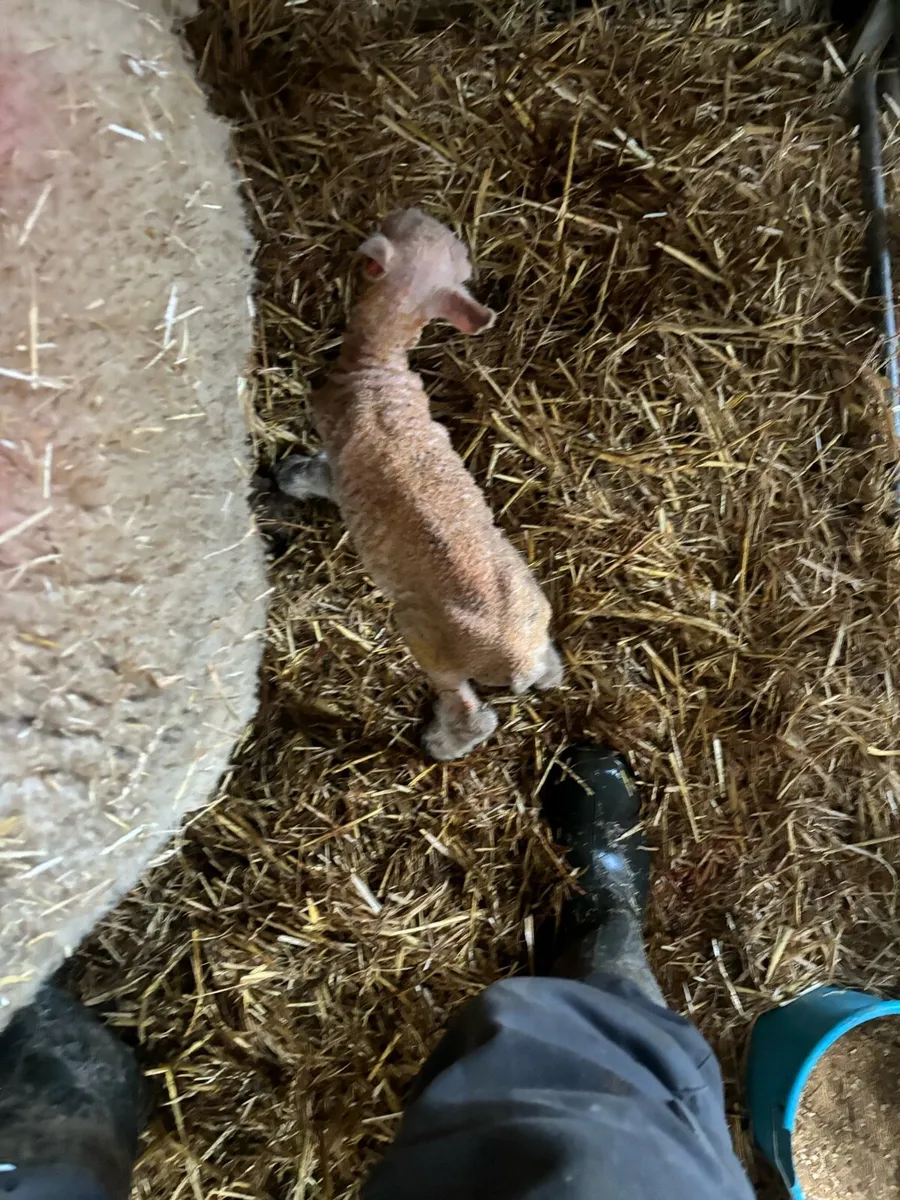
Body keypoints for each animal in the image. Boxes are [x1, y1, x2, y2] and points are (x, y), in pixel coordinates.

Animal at [276, 208, 562, 760]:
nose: (408, 209)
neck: (379, 366)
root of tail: (517, 661)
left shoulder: (336, 453)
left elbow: (319, 474)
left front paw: (289, 479)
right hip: (532, 610)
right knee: (548, 669)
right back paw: (548, 669)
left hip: (430, 642)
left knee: (470, 713)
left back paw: (442, 742)